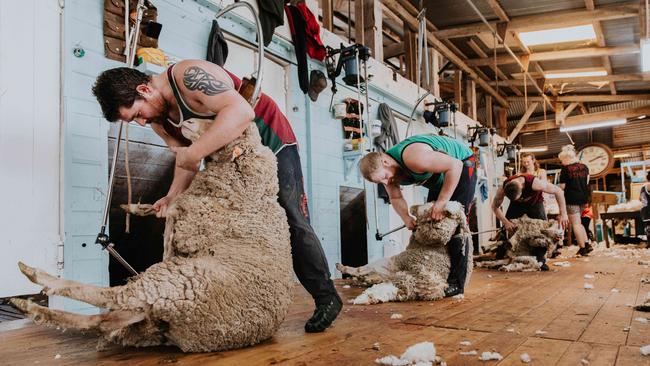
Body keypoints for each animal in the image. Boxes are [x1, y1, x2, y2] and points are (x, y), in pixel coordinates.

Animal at [11, 124, 292, 354]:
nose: (188, 122)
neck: (252, 188)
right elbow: (162, 208)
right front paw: (133, 208)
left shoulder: (191, 219)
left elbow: (171, 211)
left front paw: (157, 230)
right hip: (156, 310)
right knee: (103, 321)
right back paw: (32, 308)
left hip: (175, 282)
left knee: (110, 296)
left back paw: (37, 284)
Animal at [336, 200, 468, 304]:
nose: (412, 207)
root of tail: (411, 285)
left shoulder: (391, 263)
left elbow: (361, 269)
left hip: (388, 264)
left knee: (362, 270)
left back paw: (345, 269)